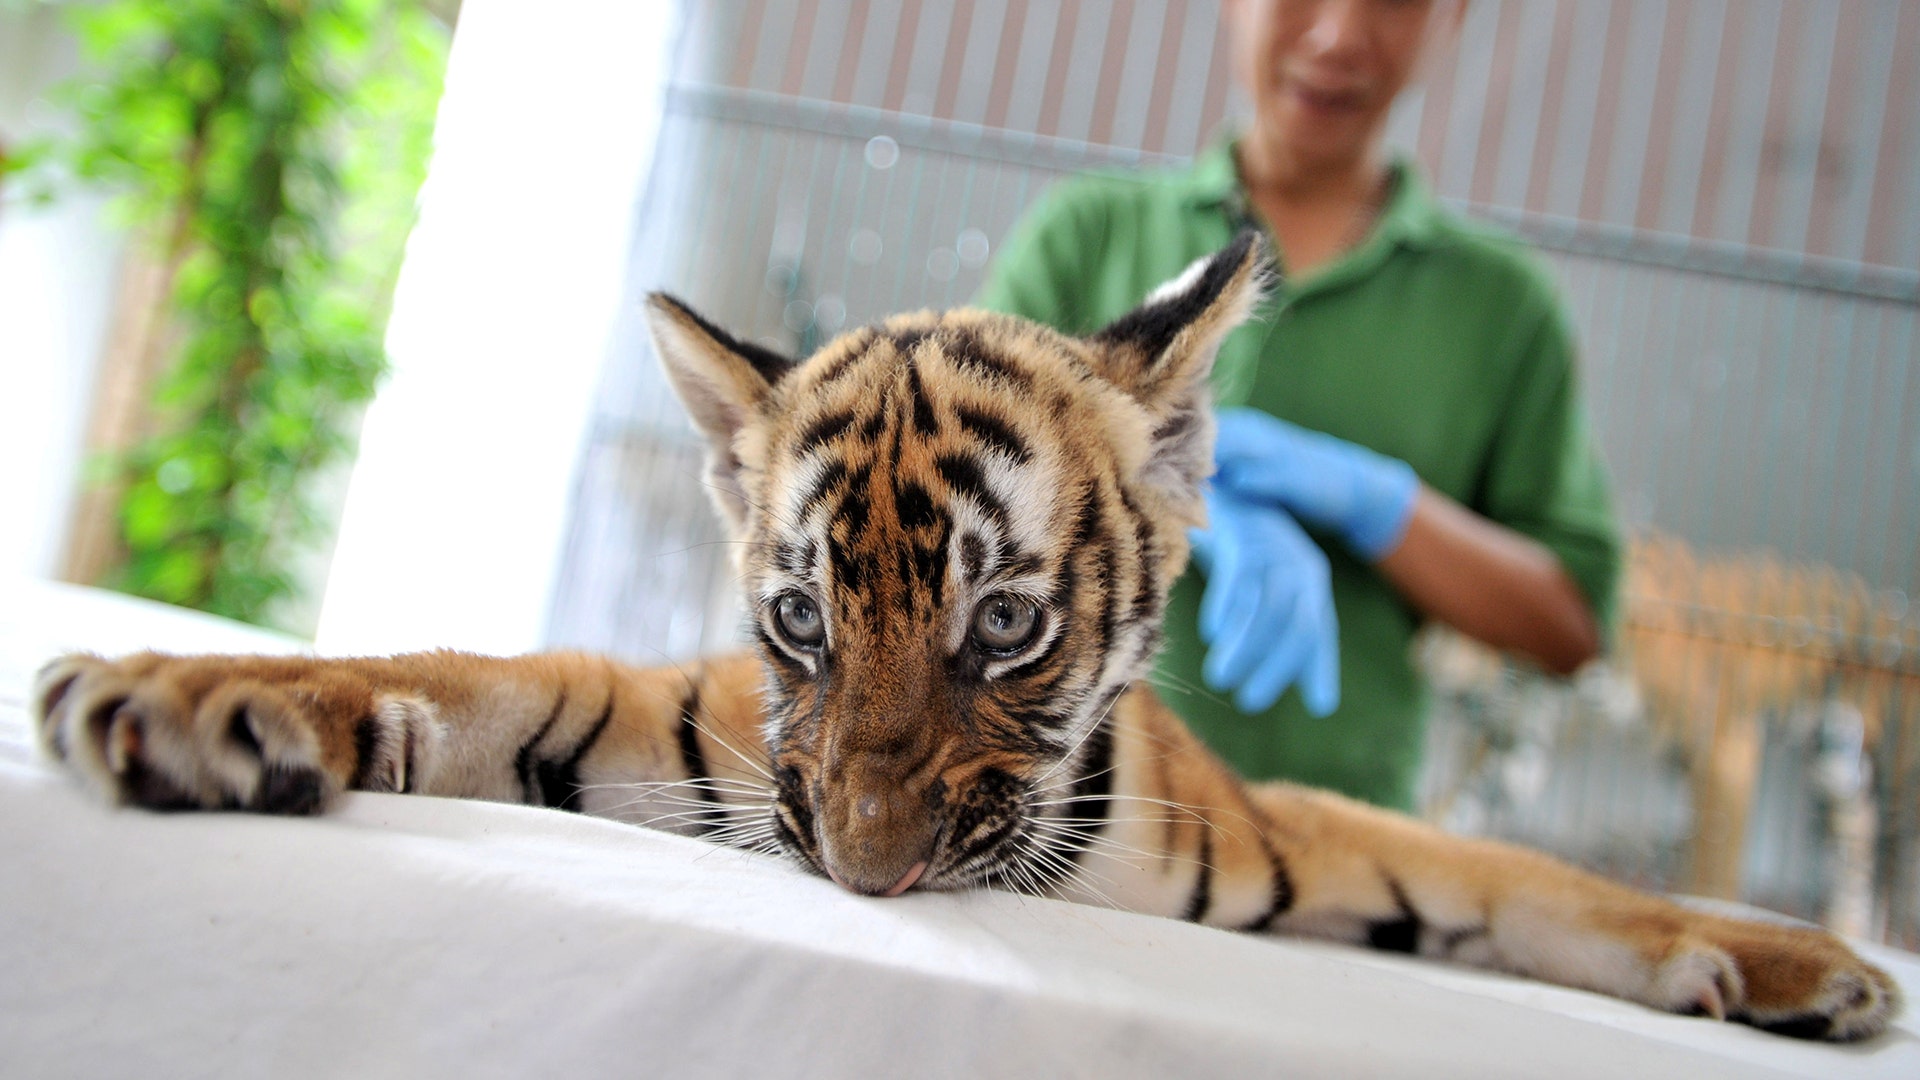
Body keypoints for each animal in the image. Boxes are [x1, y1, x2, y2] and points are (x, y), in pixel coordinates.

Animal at [32, 233, 1900, 1041]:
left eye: (1004, 625)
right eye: (797, 618)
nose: (865, 877)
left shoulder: (1285, 833)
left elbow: (1526, 878)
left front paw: (1802, 965)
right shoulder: (679, 735)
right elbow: (469, 677)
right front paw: (188, 694)